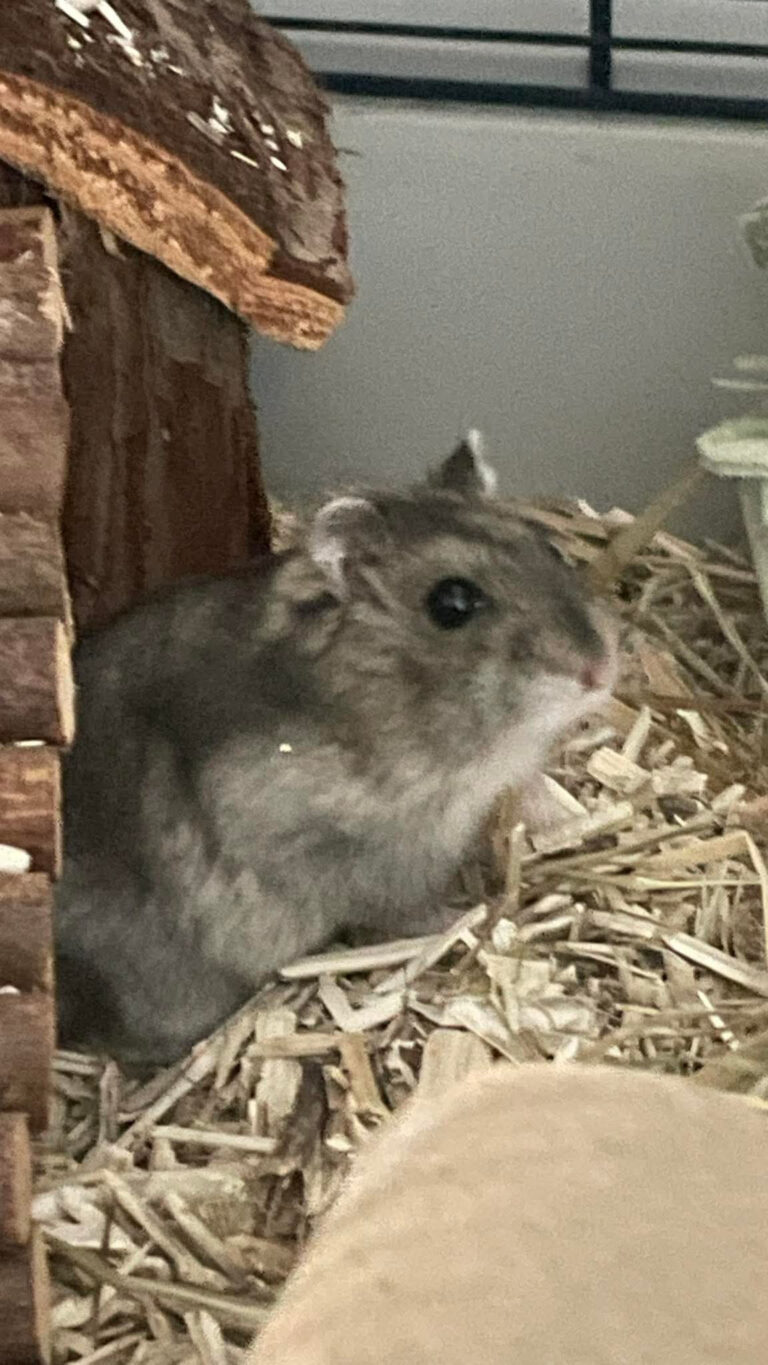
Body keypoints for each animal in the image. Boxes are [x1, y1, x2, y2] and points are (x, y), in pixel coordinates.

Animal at [55, 435, 616, 1066]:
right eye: (451, 603)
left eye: (548, 546)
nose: (601, 670)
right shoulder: (362, 851)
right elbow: (407, 907)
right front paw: (462, 918)